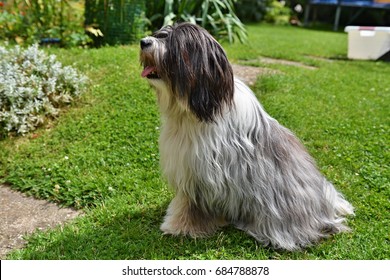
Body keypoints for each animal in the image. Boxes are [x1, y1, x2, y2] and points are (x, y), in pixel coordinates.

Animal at [139, 21, 354, 249]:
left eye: (174, 43)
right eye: (159, 34)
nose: (143, 42)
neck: (197, 108)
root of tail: (324, 210)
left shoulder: (201, 173)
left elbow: (191, 205)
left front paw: (179, 227)